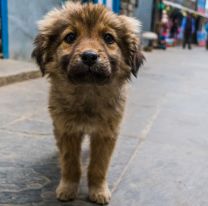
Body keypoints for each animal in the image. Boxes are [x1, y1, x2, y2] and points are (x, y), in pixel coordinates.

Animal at [32, 2, 143, 204]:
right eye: (70, 37)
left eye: (108, 38)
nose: (90, 56)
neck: (88, 92)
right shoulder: (67, 130)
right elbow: (70, 163)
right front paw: (68, 188)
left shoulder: (106, 133)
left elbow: (98, 166)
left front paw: (98, 190)